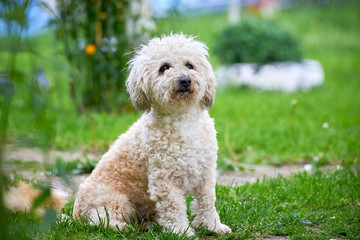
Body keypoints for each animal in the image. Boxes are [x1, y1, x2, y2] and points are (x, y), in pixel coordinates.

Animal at [71, 33, 232, 236]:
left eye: (189, 65)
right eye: (164, 68)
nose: (185, 80)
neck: (183, 121)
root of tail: (75, 215)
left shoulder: (205, 173)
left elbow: (207, 201)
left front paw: (212, 226)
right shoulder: (164, 179)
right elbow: (173, 206)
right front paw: (180, 231)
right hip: (115, 200)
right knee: (100, 221)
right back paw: (126, 227)